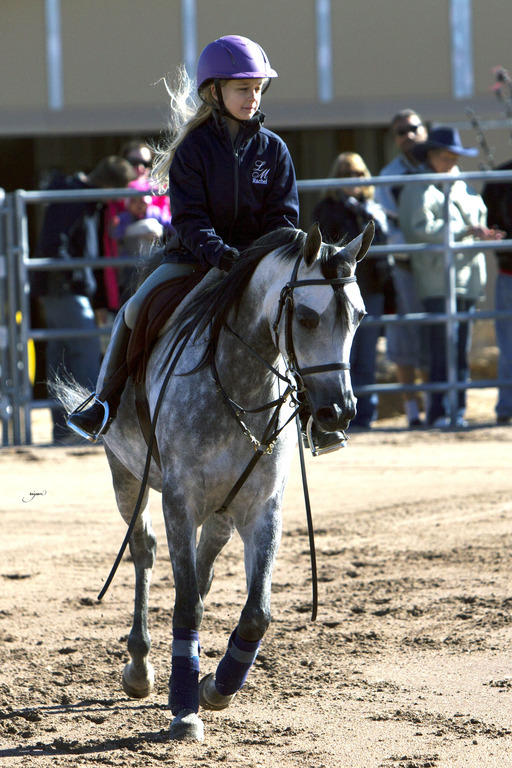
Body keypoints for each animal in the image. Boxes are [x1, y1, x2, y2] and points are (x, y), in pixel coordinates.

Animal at [57, 220, 373, 741]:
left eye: (359, 318)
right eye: (307, 318)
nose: (338, 411)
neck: (239, 383)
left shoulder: (262, 508)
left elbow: (255, 614)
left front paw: (215, 688)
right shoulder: (180, 502)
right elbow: (186, 604)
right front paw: (185, 709)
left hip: (223, 509)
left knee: (203, 569)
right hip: (127, 479)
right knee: (144, 551)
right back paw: (140, 667)